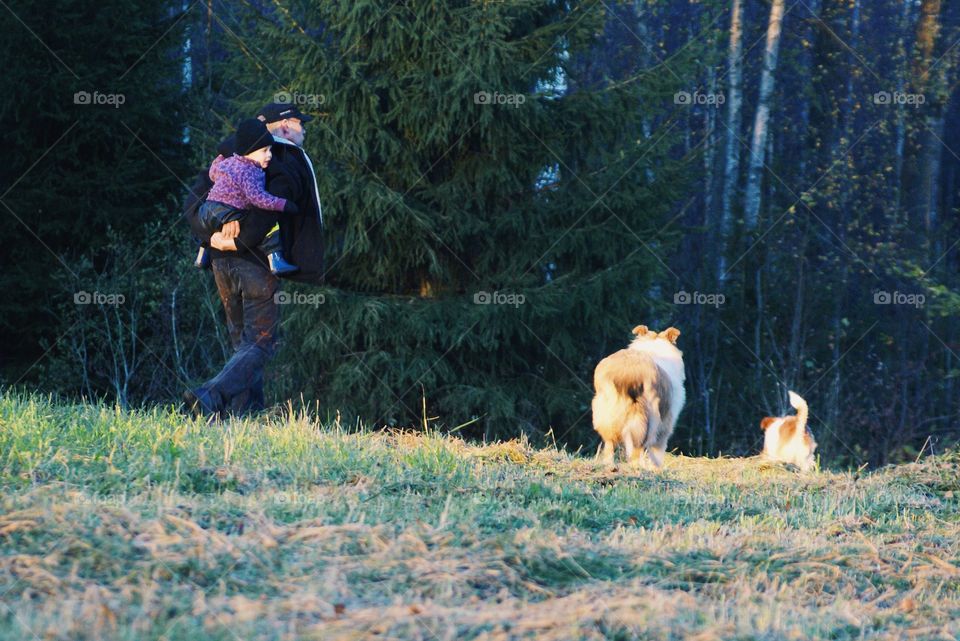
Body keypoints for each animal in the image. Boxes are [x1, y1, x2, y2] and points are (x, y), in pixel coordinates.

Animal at [588, 328, 688, 468]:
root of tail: (627, 371)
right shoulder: (666, 423)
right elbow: (657, 450)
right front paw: (656, 468)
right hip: (649, 416)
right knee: (637, 445)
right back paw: (637, 467)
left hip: (605, 409)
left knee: (609, 442)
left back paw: (609, 465)